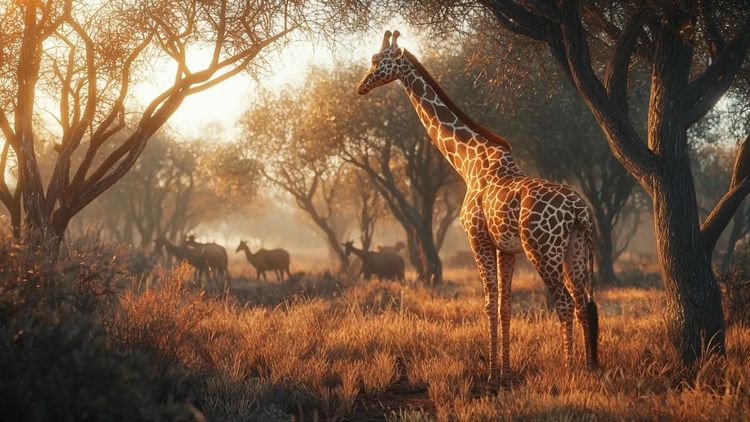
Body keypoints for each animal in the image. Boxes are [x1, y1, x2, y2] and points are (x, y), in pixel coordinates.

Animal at [356, 31, 599, 392]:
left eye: (377, 60)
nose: (361, 86)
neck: (468, 163)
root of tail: (579, 210)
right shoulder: (505, 248)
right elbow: (505, 306)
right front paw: (507, 375)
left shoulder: (477, 239)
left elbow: (488, 304)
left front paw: (491, 377)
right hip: (576, 248)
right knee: (583, 302)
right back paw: (588, 367)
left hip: (543, 250)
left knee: (565, 302)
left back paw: (570, 371)